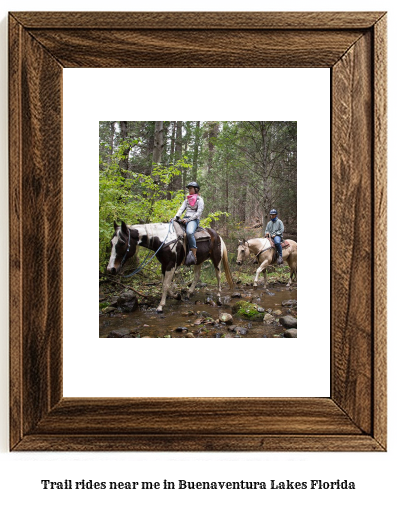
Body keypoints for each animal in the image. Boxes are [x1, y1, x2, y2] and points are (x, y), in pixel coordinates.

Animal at [106, 220, 234, 312]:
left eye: (122, 242)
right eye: (111, 242)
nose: (111, 269)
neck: (164, 240)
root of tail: (217, 235)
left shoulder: (171, 265)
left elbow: (166, 286)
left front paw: (160, 306)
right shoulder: (164, 265)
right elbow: (165, 285)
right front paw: (177, 296)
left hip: (216, 260)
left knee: (218, 275)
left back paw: (218, 295)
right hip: (198, 261)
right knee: (197, 276)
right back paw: (188, 294)